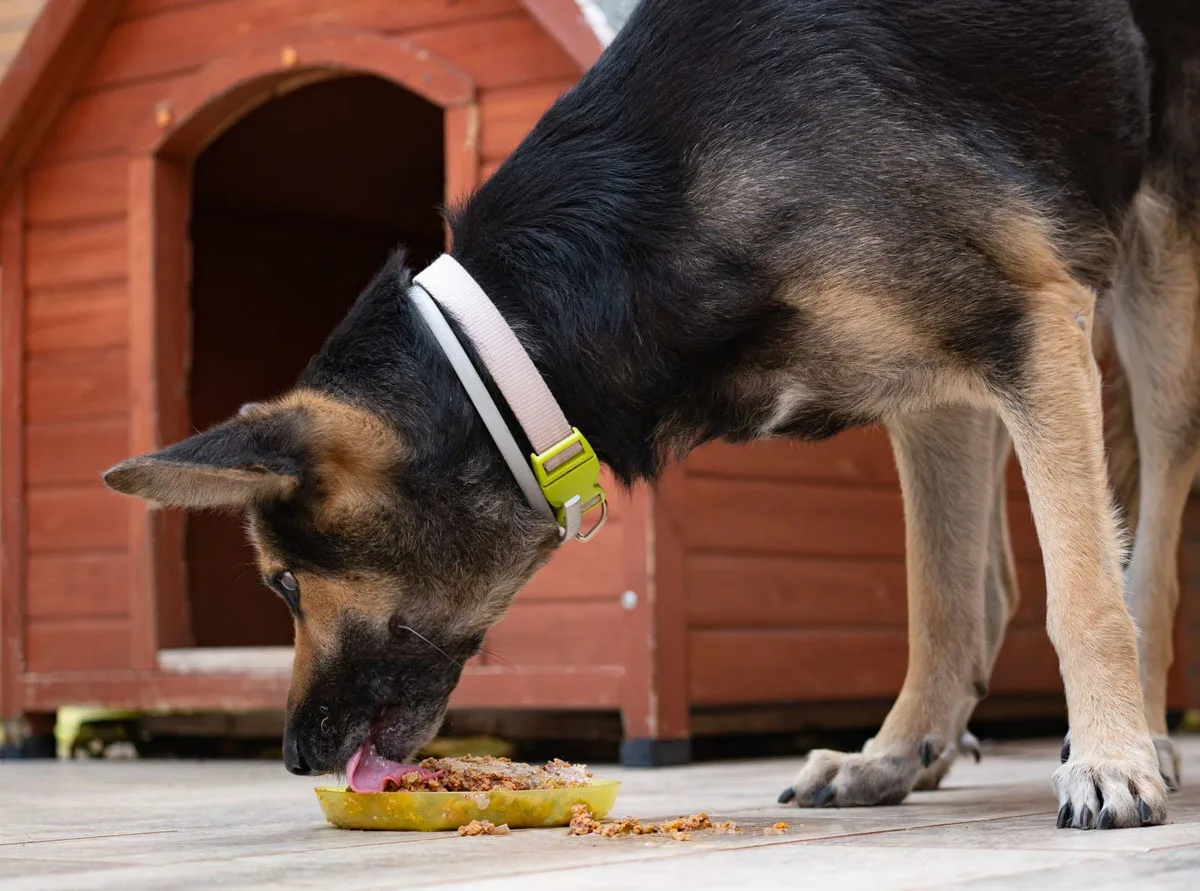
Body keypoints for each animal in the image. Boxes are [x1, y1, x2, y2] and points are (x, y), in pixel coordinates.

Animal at [105, 3, 1200, 835]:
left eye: (285, 583)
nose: (295, 757)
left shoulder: (1024, 333)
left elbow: (1083, 595)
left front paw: (1108, 757)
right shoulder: (937, 399)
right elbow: (939, 602)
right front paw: (895, 754)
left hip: (1158, 293)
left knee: (1147, 548)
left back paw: (1140, 737)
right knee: (995, 583)